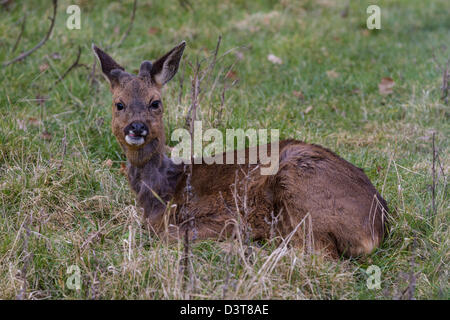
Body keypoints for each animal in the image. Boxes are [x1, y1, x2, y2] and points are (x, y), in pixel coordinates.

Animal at [91, 41, 386, 258]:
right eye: (119, 104)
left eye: (155, 102)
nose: (137, 127)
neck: (163, 190)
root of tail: (376, 228)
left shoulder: (218, 214)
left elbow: (171, 235)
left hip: (300, 186)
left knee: (318, 255)